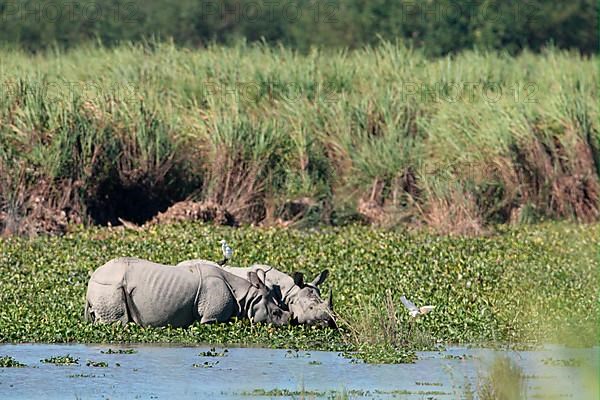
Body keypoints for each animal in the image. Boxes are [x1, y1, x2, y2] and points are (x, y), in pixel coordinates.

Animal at [85, 256, 290, 328]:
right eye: (275, 313)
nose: (289, 322)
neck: (247, 295)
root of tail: (91, 280)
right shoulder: (212, 318)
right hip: (109, 286)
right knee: (116, 323)